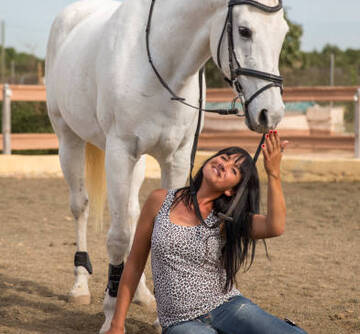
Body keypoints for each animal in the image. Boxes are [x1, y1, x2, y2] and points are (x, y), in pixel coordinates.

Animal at [45, 0, 288, 330]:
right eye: (244, 30)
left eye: (283, 33)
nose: (270, 114)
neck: (161, 63)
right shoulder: (119, 152)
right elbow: (119, 237)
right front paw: (110, 315)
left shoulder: (177, 156)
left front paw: (161, 318)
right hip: (69, 139)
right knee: (80, 206)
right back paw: (80, 286)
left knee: (134, 215)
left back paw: (140, 293)